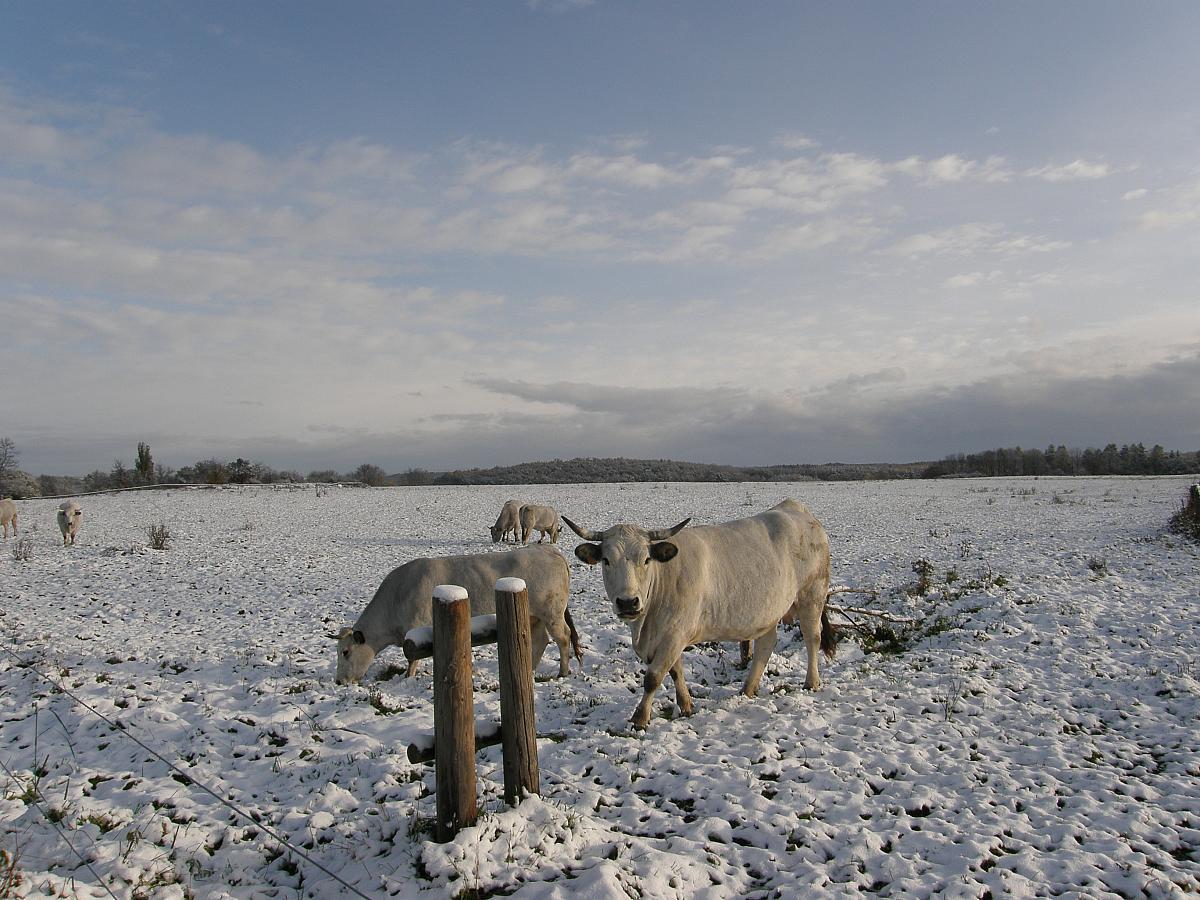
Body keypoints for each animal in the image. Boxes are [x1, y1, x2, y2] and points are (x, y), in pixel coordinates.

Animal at [334, 544, 582, 685]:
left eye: (345, 652)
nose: (338, 681)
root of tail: (547, 549)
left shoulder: (414, 628)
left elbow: (412, 659)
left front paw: (408, 677)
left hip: (552, 613)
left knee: (563, 637)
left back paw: (563, 672)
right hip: (535, 617)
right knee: (541, 641)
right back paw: (529, 670)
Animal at [563, 498, 836, 730]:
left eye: (646, 559)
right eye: (606, 560)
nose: (628, 602)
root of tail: (797, 509)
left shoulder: (675, 633)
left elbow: (653, 677)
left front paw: (640, 718)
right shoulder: (668, 634)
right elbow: (675, 671)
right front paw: (686, 706)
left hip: (812, 595)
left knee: (812, 637)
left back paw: (811, 682)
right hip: (768, 612)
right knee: (766, 645)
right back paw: (748, 689)